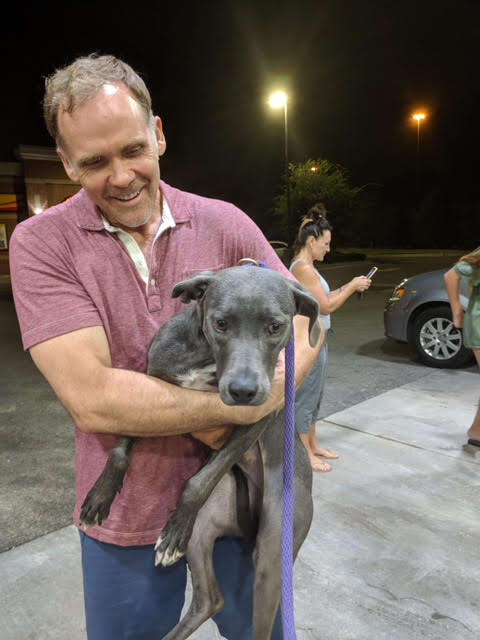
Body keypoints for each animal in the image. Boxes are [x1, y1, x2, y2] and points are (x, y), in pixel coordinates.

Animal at [80, 264, 320, 640]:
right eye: (220, 323)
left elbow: (201, 478)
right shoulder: (146, 392)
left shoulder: (256, 418)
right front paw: (100, 497)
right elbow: (121, 448)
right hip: (204, 527)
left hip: (273, 551)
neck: (206, 357)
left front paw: (172, 528)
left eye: (276, 326)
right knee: (211, 600)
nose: (243, 391)